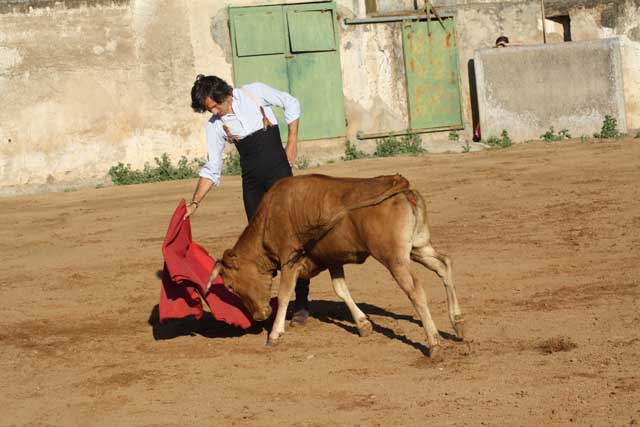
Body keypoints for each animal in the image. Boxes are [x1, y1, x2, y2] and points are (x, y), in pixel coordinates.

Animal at [208, 174, 462, 358]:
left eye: (230, 286)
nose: (259, 316)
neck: (268, 221)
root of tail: (401, 186)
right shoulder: (333, 260)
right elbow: (341, 290)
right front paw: (363, 325)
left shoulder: (290, 260)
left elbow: (284, 295)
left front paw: (274, 334)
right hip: (418, 247)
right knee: (444, 264)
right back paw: (457, 323)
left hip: (395, 259)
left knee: (416, 290)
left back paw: (434, 343)